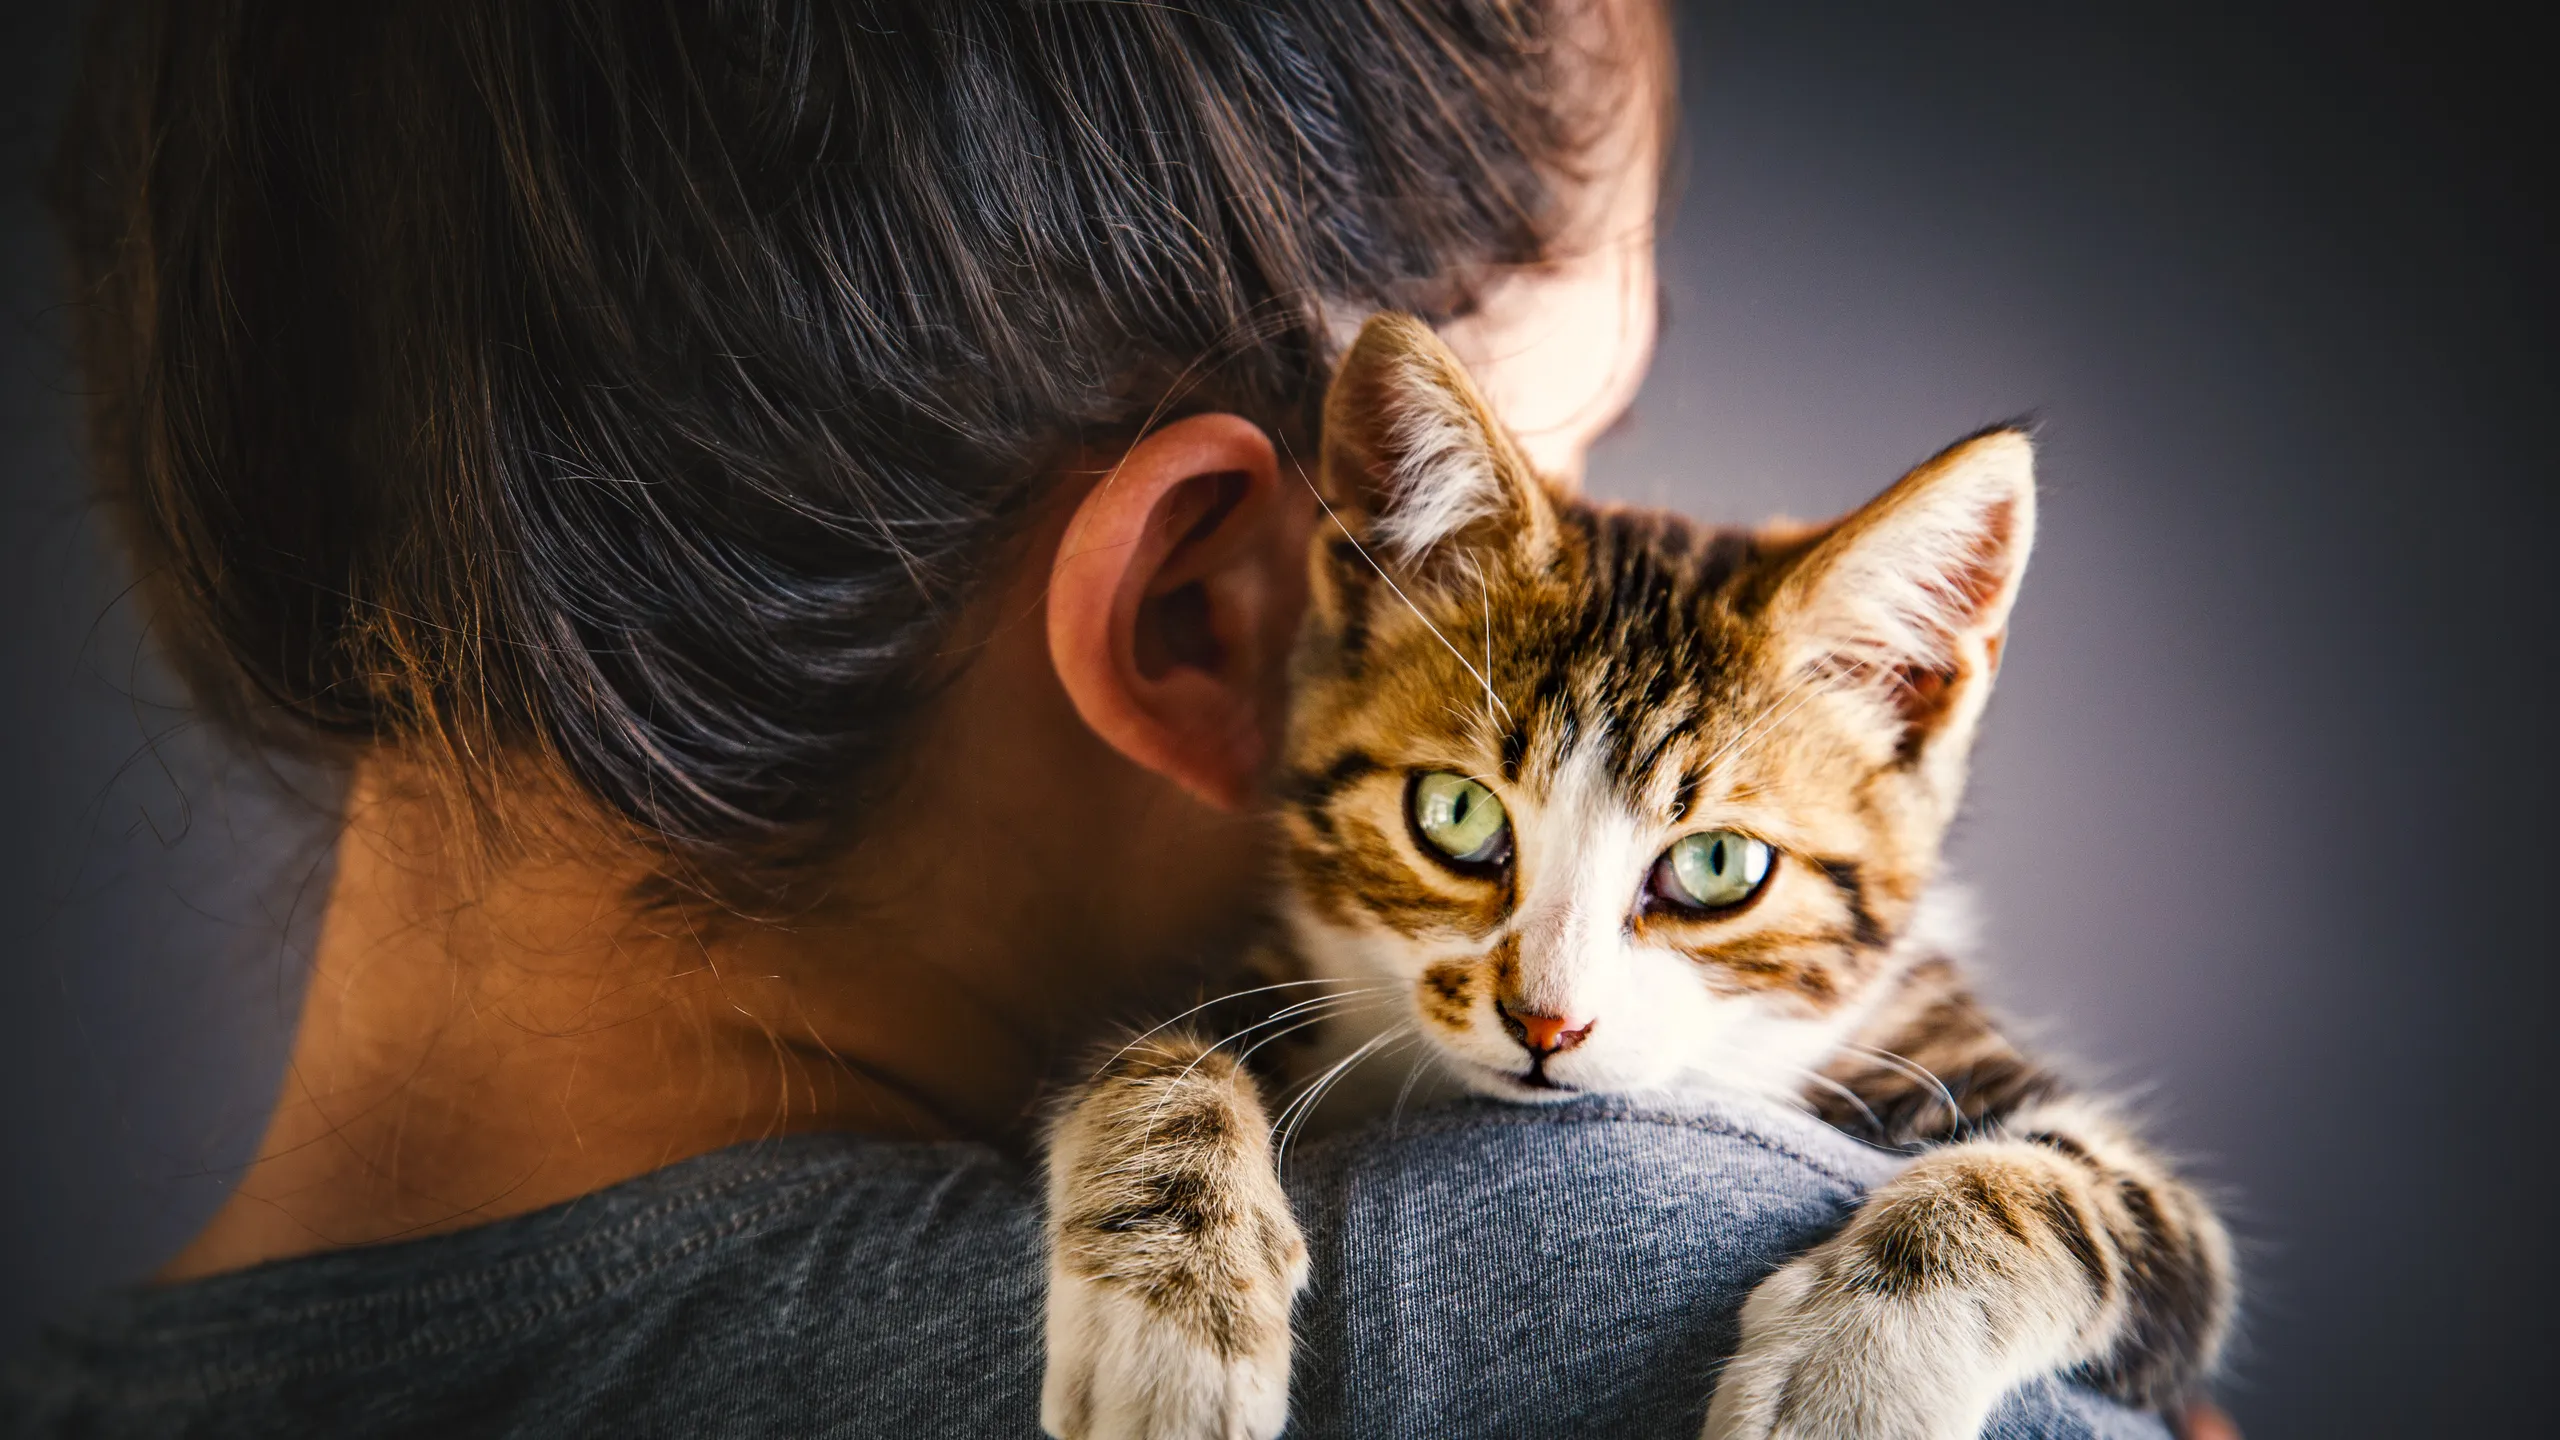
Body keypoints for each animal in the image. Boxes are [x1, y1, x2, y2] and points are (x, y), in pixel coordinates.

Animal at [1029, 313, 2232, 1434]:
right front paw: (1169, 1317)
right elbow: (1164, 1049)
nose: (1545, 1023)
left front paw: (1851, 1373)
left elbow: (2082, 1198)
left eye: (1716, 866)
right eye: (1455, 813)